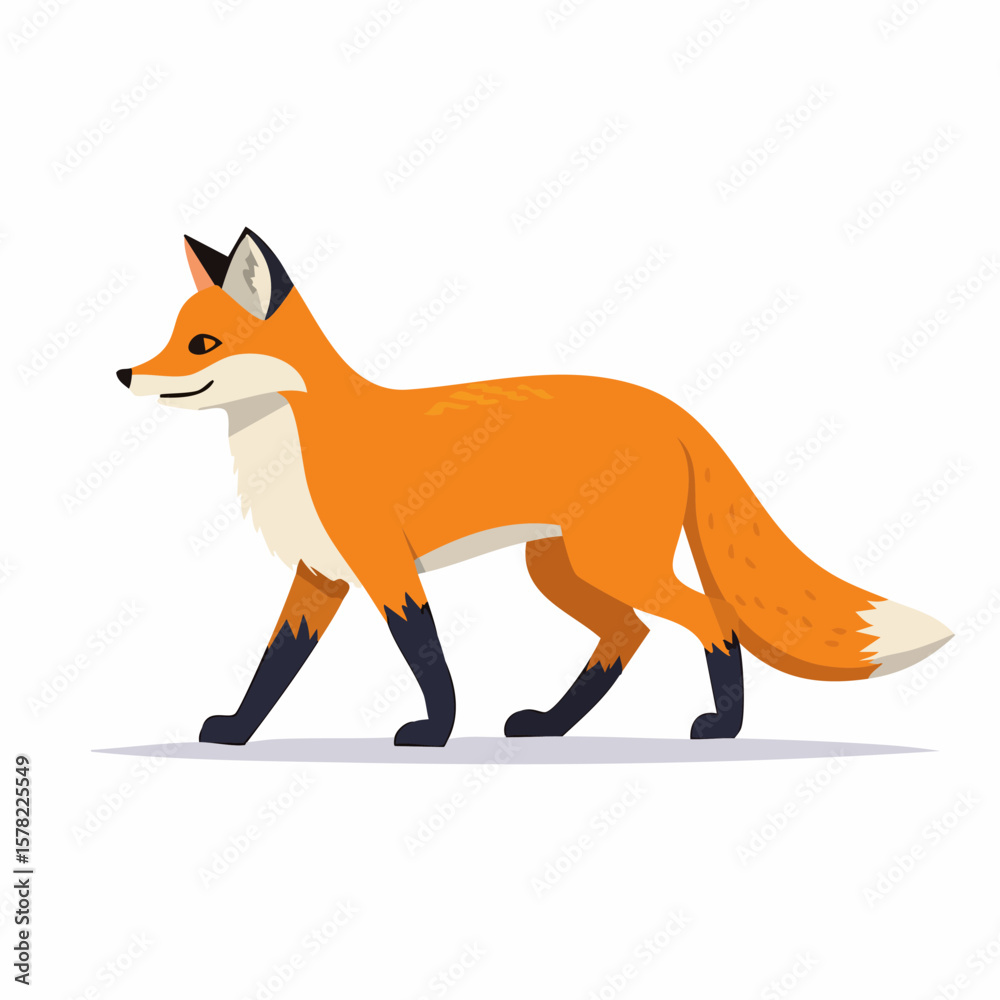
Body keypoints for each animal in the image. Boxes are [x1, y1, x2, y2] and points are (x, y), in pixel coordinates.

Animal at [117, 227, 953, 748]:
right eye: (172, 336)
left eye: (202, 343)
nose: (125, 373)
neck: (292, 442)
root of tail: (671, 409)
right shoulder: (320, 576)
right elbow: (273, 668)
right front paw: (236, 730)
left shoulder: (385, 567)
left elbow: (424, 653)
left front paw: (435, 733)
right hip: (560, 567)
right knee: (628, 635)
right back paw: (553, 723)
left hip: (609, 563)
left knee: (710, 619)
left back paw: (722, 727)